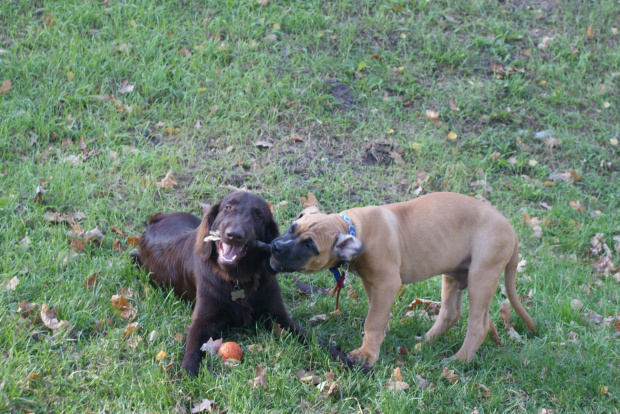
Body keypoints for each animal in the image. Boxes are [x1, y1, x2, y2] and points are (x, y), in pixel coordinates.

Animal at [268, 192, 536, 368]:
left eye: (309, 245)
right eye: (292, 227)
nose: (275, 247)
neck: (354, 228)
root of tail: (510, 228)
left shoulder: (387, 283)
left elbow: (373, 320)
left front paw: (367, 353)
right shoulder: (372, 282)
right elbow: (376, 312)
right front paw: (381, 334)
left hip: (482, 275)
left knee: (478, 325)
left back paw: (458, 361)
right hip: (453, 274)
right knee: (450, 313)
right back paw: (425, 343)